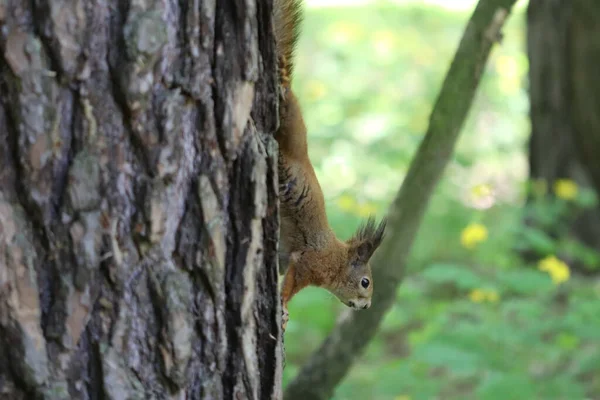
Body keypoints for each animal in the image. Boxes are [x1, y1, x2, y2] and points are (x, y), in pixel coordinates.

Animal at [274, 0, 386, 332]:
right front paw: (283, 310)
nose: (366, 306)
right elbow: (289, 287)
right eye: (365, 282)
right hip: (288, 132)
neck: (336, 258)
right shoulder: (308, 263)